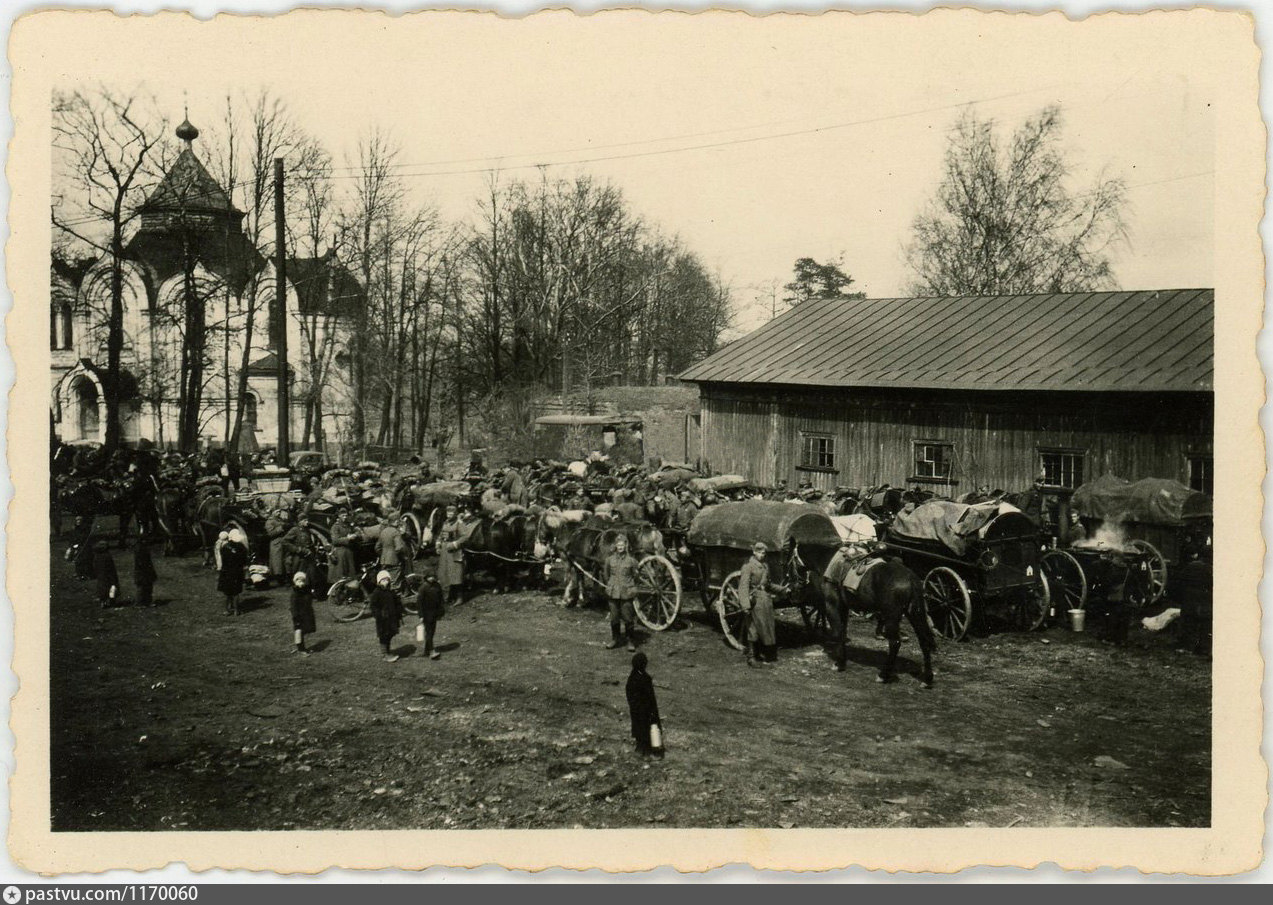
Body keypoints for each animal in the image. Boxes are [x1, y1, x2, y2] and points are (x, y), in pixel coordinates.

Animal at [819, 554, 942, 692]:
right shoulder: (844, 606)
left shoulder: (832, 603)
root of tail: (911, 579)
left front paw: (839, 664)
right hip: (916, 614)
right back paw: (927, 679)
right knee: (924, 642)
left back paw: (883, 675)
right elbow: (843, 631)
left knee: (895, 643)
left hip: (891, 617)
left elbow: (837, 632)